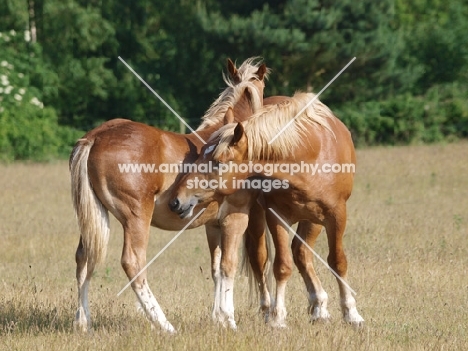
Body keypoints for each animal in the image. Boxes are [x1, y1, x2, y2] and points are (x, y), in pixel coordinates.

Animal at [68, 57, 270, 332]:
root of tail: (95, 137)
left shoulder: (213, 226)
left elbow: (216, 268)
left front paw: (217, 318)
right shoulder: (234, 220)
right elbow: (229, 266)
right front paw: (229, 320)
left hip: (95, 218)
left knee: (84, 258)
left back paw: (82, 321)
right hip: (136, 218)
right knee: (133, 263)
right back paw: (164, 324)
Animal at [168, 92, 366, 328]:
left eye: (218, 162)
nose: (177, 200)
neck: (310, 152)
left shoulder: (336, 215)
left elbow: (337, 261)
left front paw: (351, 313)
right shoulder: (276, 216)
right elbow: (282, 266)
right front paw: (277, 318)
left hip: (312, 219)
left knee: (301, 252)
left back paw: (319, 307)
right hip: (257, 217)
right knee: (261, 259)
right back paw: (270, 309)